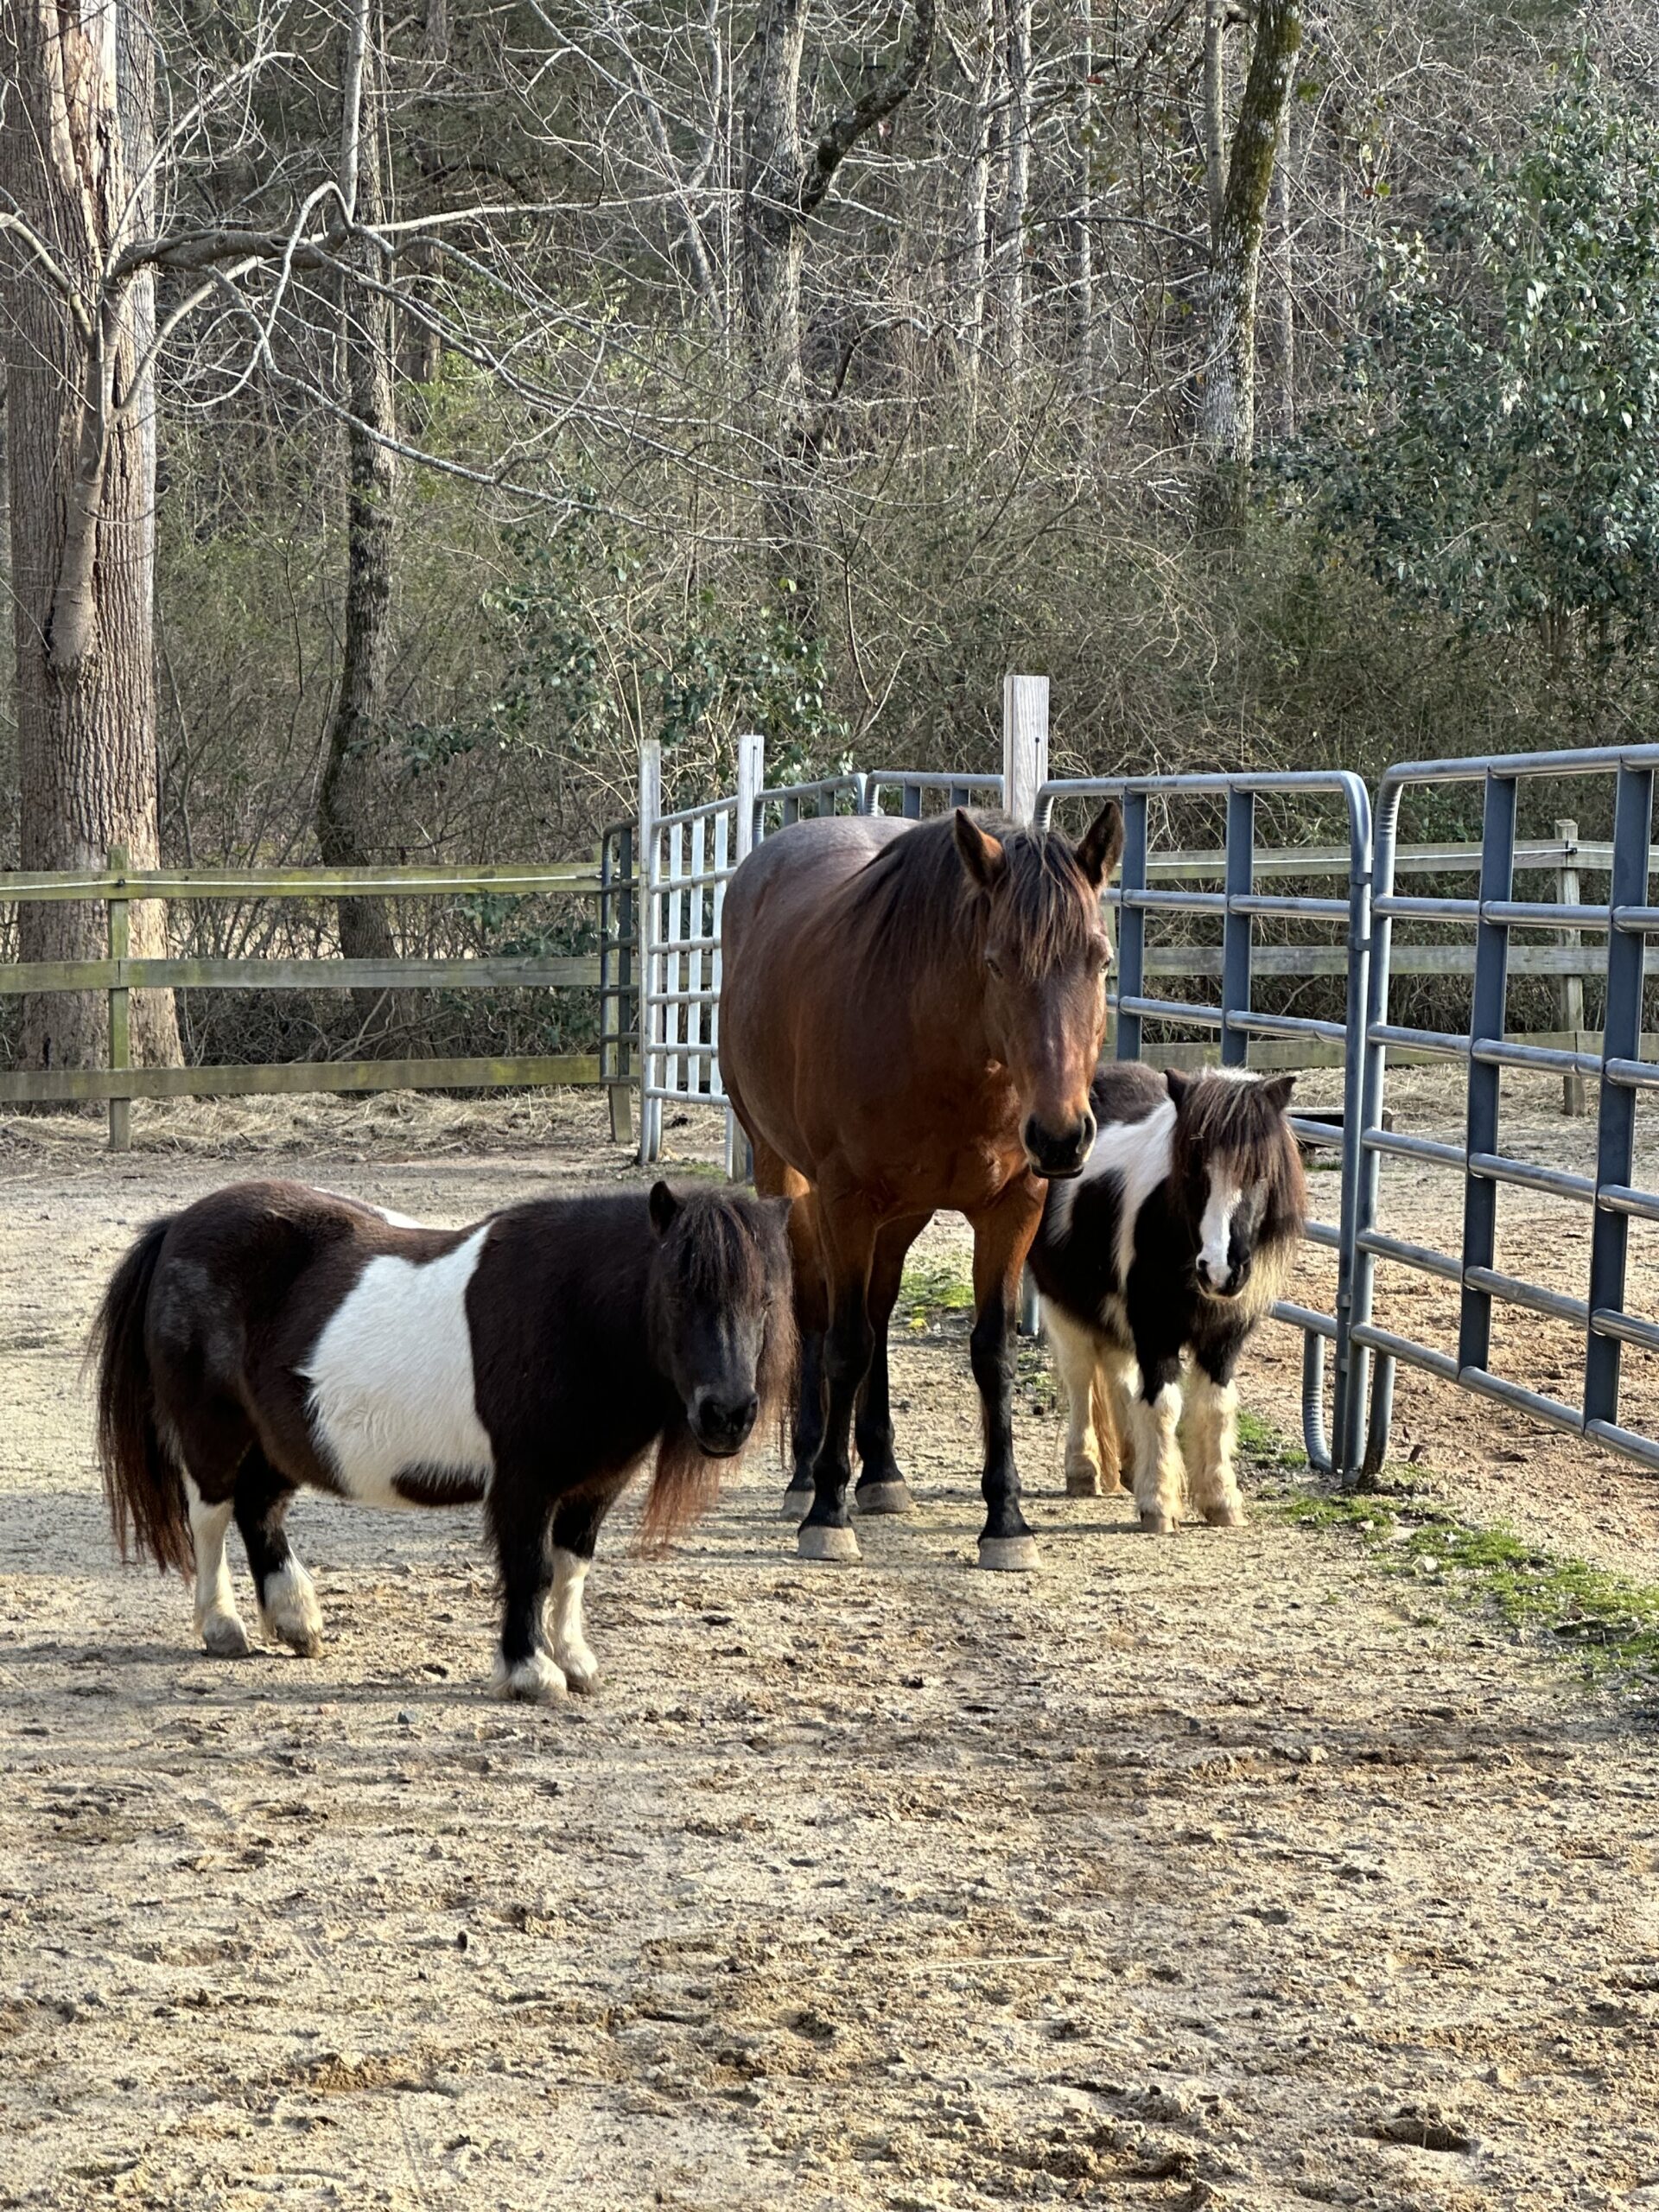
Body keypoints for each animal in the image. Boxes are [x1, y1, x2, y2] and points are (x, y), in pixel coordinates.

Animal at [89, 1185, 791, 1699]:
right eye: (676, 1291)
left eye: (766, 1299)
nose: (728, 1415)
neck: (575, 1315)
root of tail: (179, 1224)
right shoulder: (524, 1483)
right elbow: (531, 1570)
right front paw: (530, 1671)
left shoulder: (595, 1485)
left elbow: (571, 1571)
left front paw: (574, 1660)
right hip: (215, 1429)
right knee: (210, 1516)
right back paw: (223, 1626)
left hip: (283, 1440)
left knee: (258, 1509)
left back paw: (296, 1620)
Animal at [721, 800, 1123, 1574]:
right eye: (996, 962)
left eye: (1101, 959)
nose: (1061, 1136)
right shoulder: (845, 1201)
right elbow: (844, 1342)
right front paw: (826, 1511)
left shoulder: (1011, 1209)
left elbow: (991, 1353)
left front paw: (1006, 1521)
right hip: (785, 1174)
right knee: (817, 1312)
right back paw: (806, 1474)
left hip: (903, 1213)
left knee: (878, 1313)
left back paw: (881, 1472)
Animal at [1026, 1071, 1309, 1539]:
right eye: (1192, 1171)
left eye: (1260, 1174)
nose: (1219, 1271)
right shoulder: (1154, 1329)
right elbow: (1163, 1406)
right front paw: (1158, 1505)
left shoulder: (1223, 1339)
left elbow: (1214, 1408)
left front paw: (1220, 1500)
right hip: (1063, 1308)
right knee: (1080, 1379)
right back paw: (1084, 1471)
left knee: (1120, 1379)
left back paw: (1128, 1466)